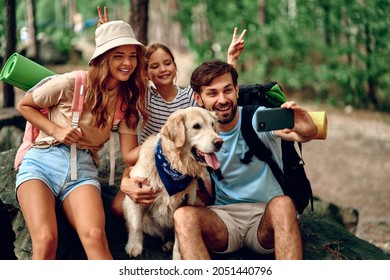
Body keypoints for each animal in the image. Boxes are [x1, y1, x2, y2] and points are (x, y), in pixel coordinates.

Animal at [123, 106, 224, 260]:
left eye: (213, 125)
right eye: (196, 126)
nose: (219, 142)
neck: (174, 166)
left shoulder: (185, 204)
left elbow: (179, 238)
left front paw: (177, 256)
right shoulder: (136, 193)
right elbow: (136, 224)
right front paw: (134, 246)